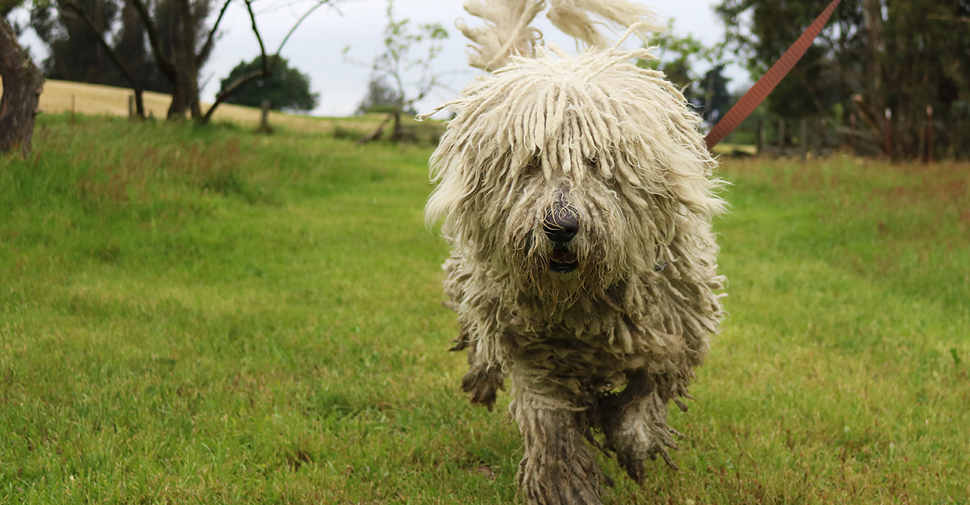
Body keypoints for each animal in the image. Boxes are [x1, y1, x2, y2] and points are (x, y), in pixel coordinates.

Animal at [420, 1, 724, 502]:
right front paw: (566, 485)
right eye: (529, 163)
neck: (583, 300)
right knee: (477, 329)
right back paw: (482, 373)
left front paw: (622, 431)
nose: (560, 226)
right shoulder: (534, 353)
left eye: (598, 162)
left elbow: (645, 405)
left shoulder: (673, 329)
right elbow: (552, 429)